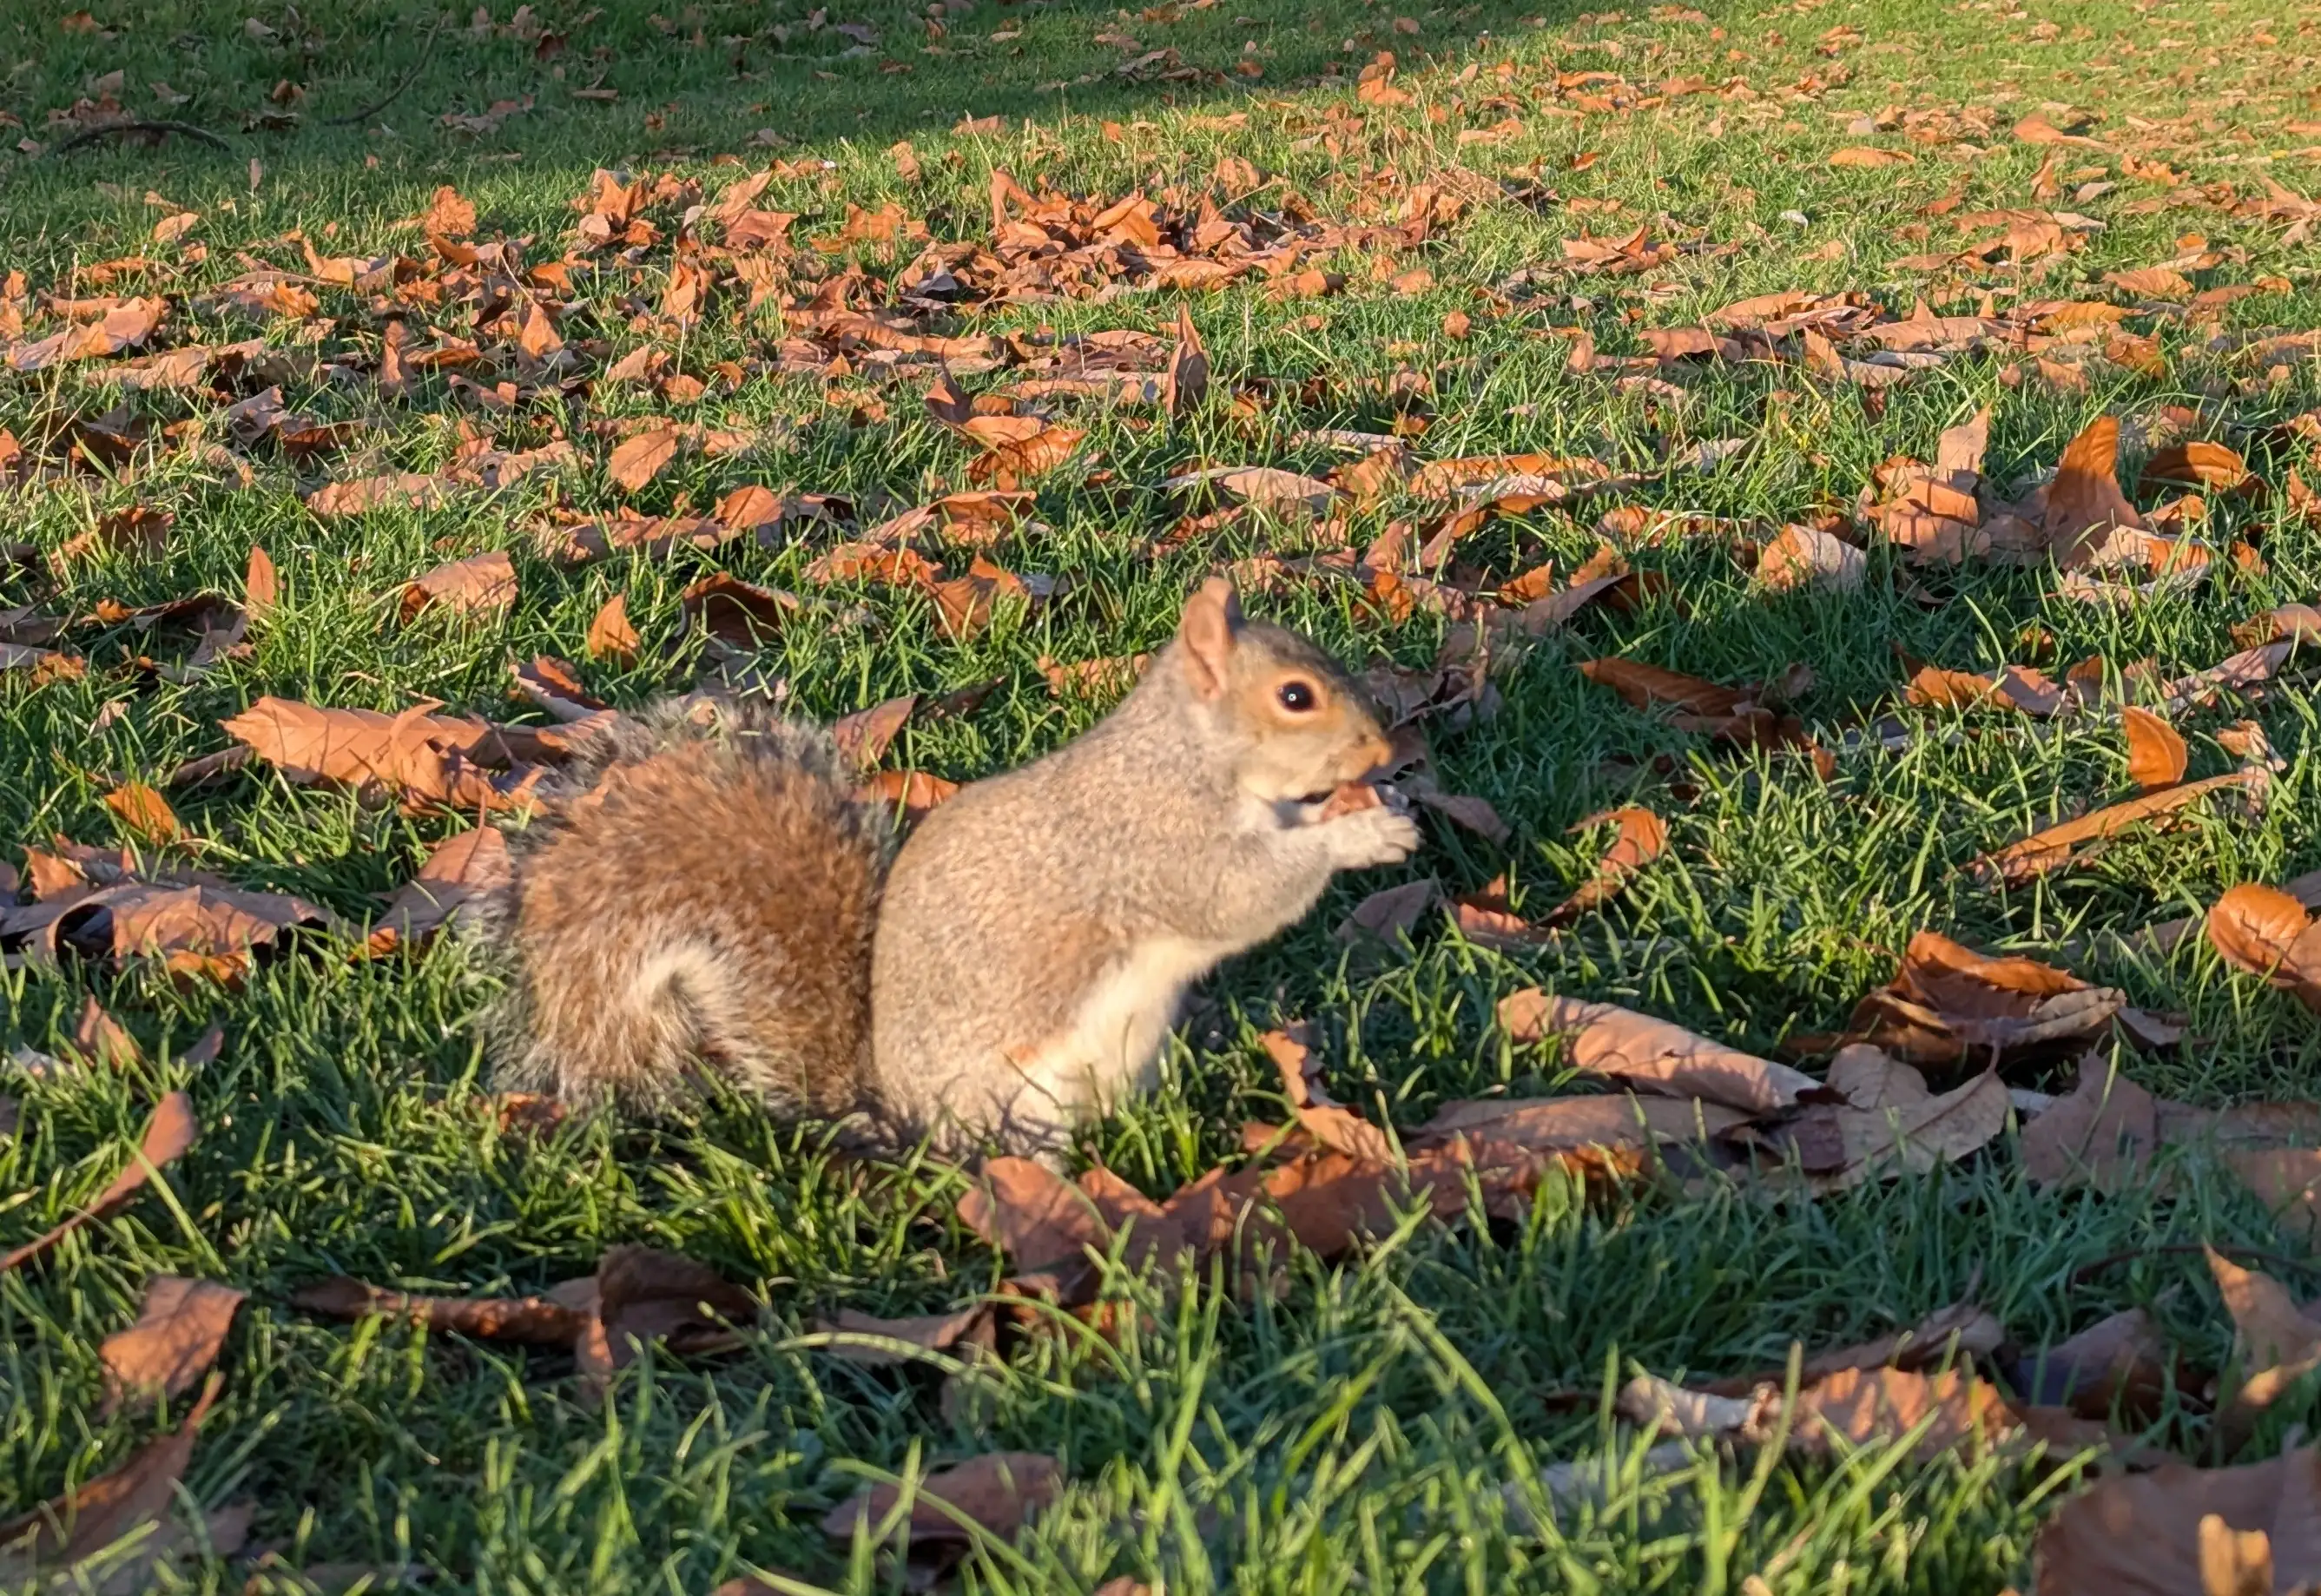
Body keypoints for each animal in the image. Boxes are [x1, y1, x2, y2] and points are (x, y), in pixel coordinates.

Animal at [484, 577, 1418, 1156]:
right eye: (1295, 696)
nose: (1383, 752)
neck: (1189, 752)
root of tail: (897, 1115)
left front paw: (1357, 810)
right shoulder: (1156, 840)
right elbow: (1240, 894)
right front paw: (1360, 837)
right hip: (1013, 1094)